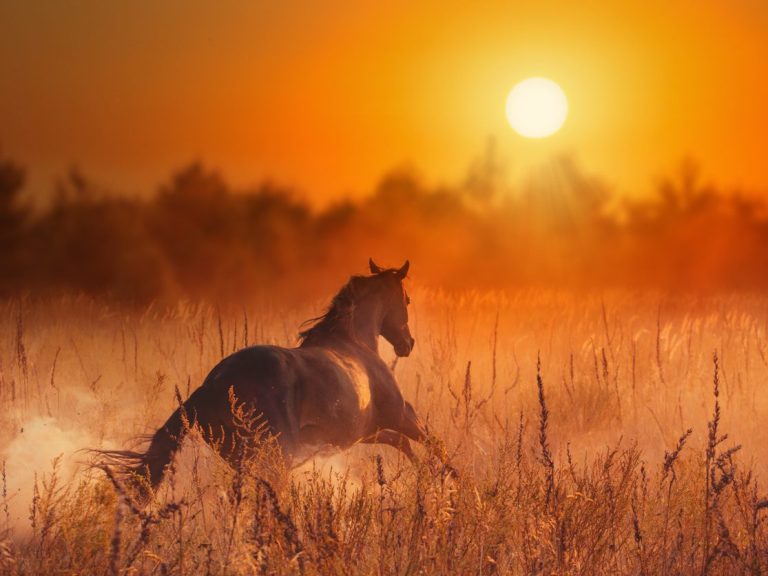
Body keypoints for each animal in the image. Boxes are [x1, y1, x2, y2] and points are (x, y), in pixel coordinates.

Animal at [107, 258, 444, 498]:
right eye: (407, 300)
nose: (408, 344)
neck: (355, 341)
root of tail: (210, 386)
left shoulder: (364, 432)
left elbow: (403, 443)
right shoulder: (400, 414)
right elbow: (431, 441)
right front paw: (444, 483)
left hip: (242, 457)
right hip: (276, 454)